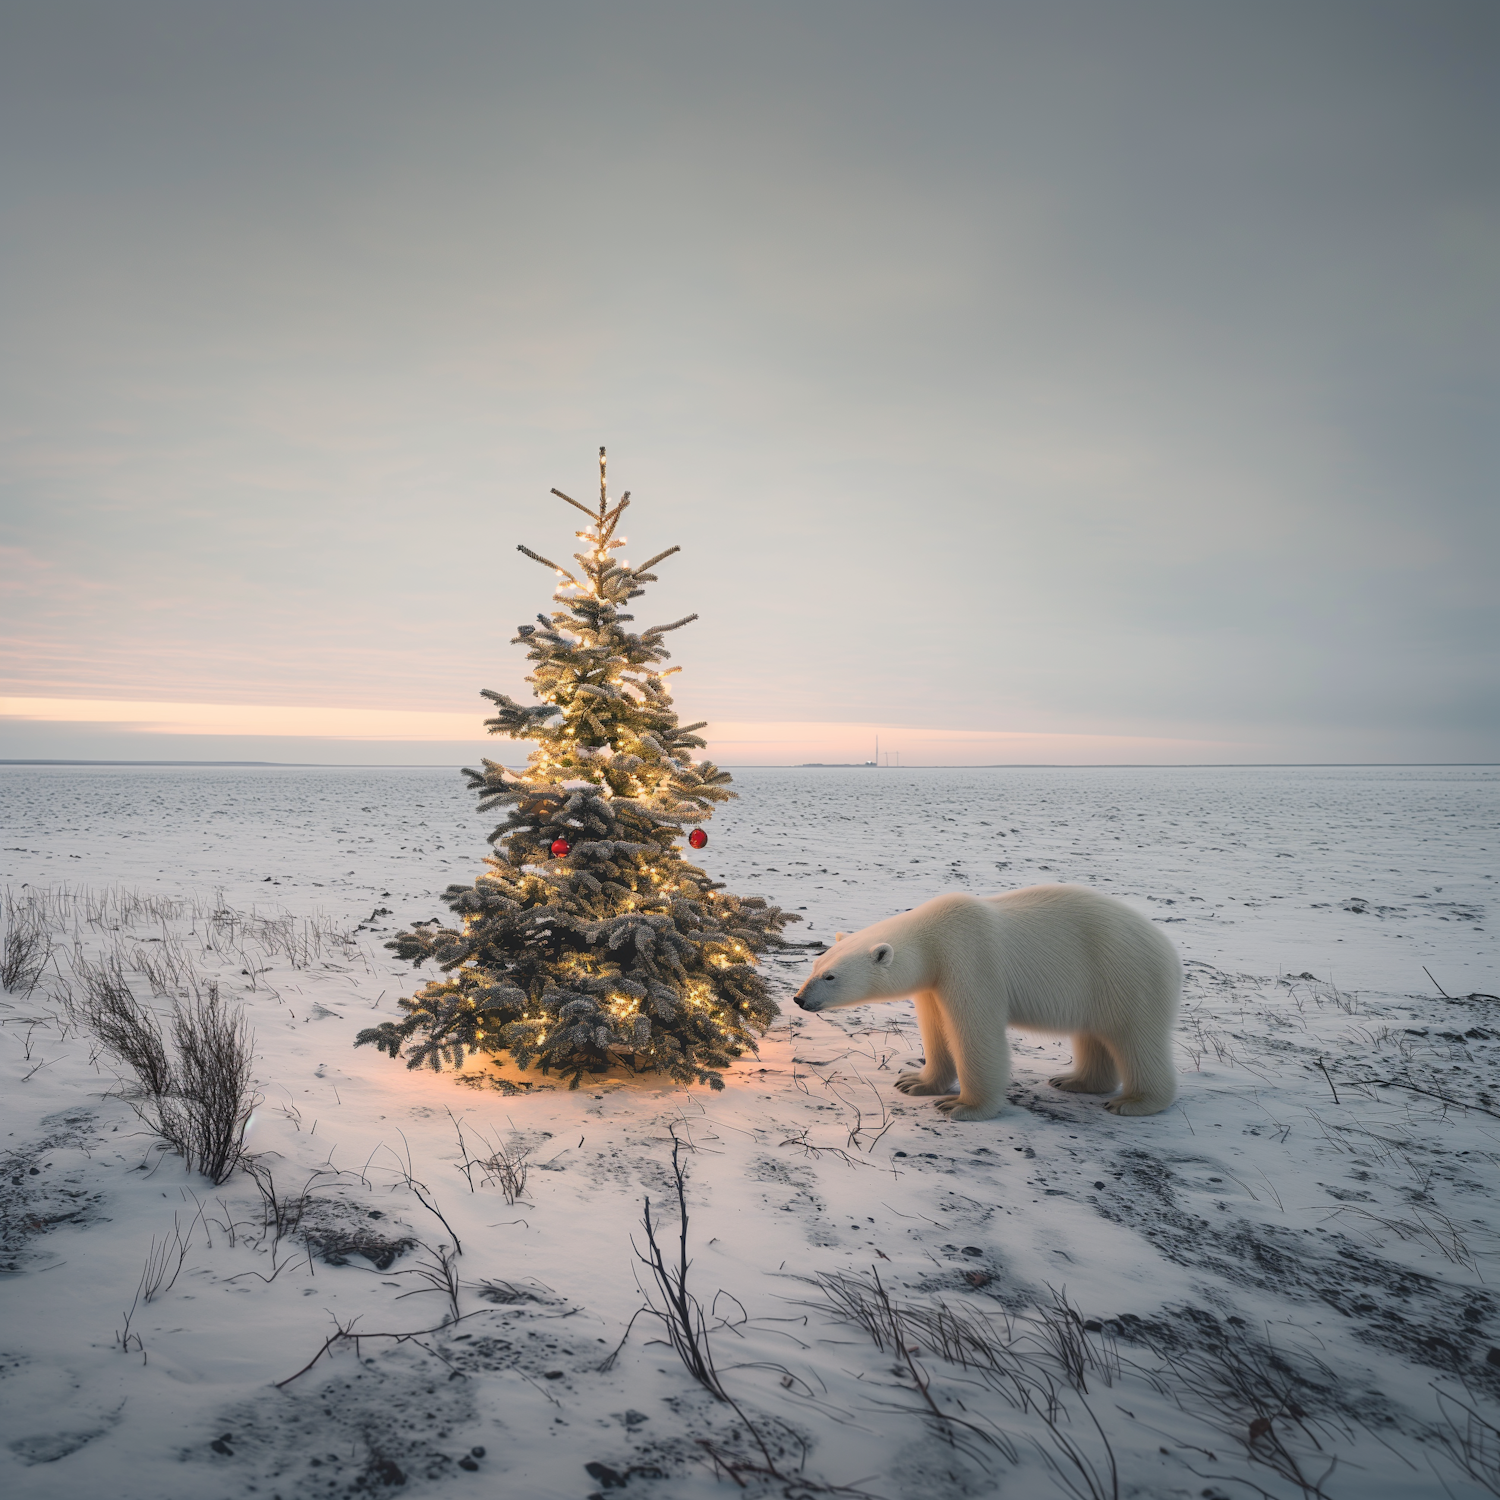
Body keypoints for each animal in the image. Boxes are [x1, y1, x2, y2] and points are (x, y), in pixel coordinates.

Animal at [792, 882, 1176, 1122]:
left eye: (831, 977)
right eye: (815, 966)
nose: (799, 999)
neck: (932, 937)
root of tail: (1166, 945)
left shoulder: (968, 957)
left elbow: (974, 1031)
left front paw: (961, 1106)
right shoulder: (934, 980)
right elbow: (934, 1027)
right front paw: (914, 1082)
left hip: (1124, 974)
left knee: (1135, 1038)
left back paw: (1135, 1102)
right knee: (1094, 1034)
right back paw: (1074, 1081)